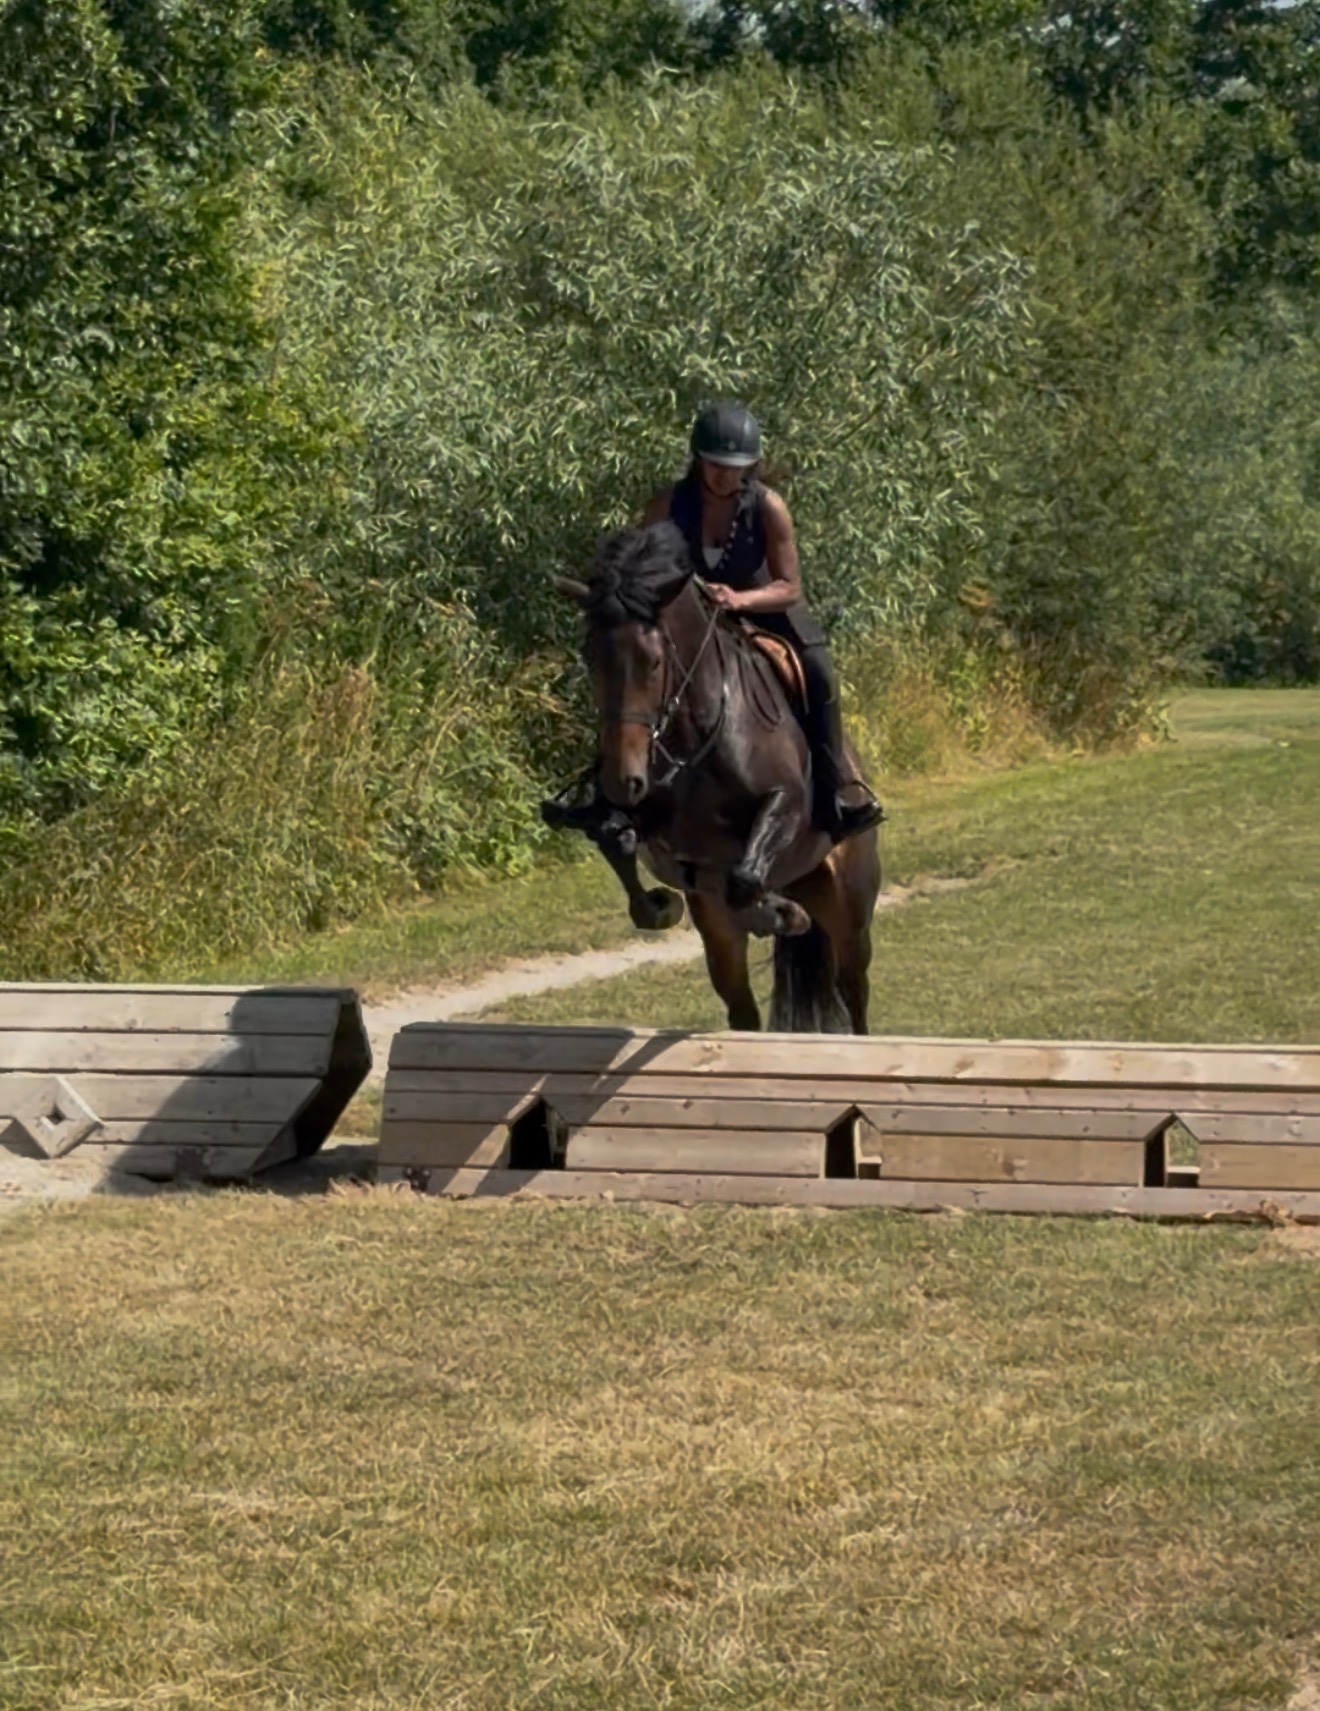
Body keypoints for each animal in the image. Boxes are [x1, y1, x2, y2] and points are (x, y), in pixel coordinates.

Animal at [553, 521, 881, 1033]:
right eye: (590, 657)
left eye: (653, 661)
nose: (621, 780)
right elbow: (614, 839)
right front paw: (658, 906)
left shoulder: (787, 802)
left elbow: (745, 874)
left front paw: (781, 914)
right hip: (722, 931)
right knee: (741, 1006)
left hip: (849, 909)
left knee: (853, 990)